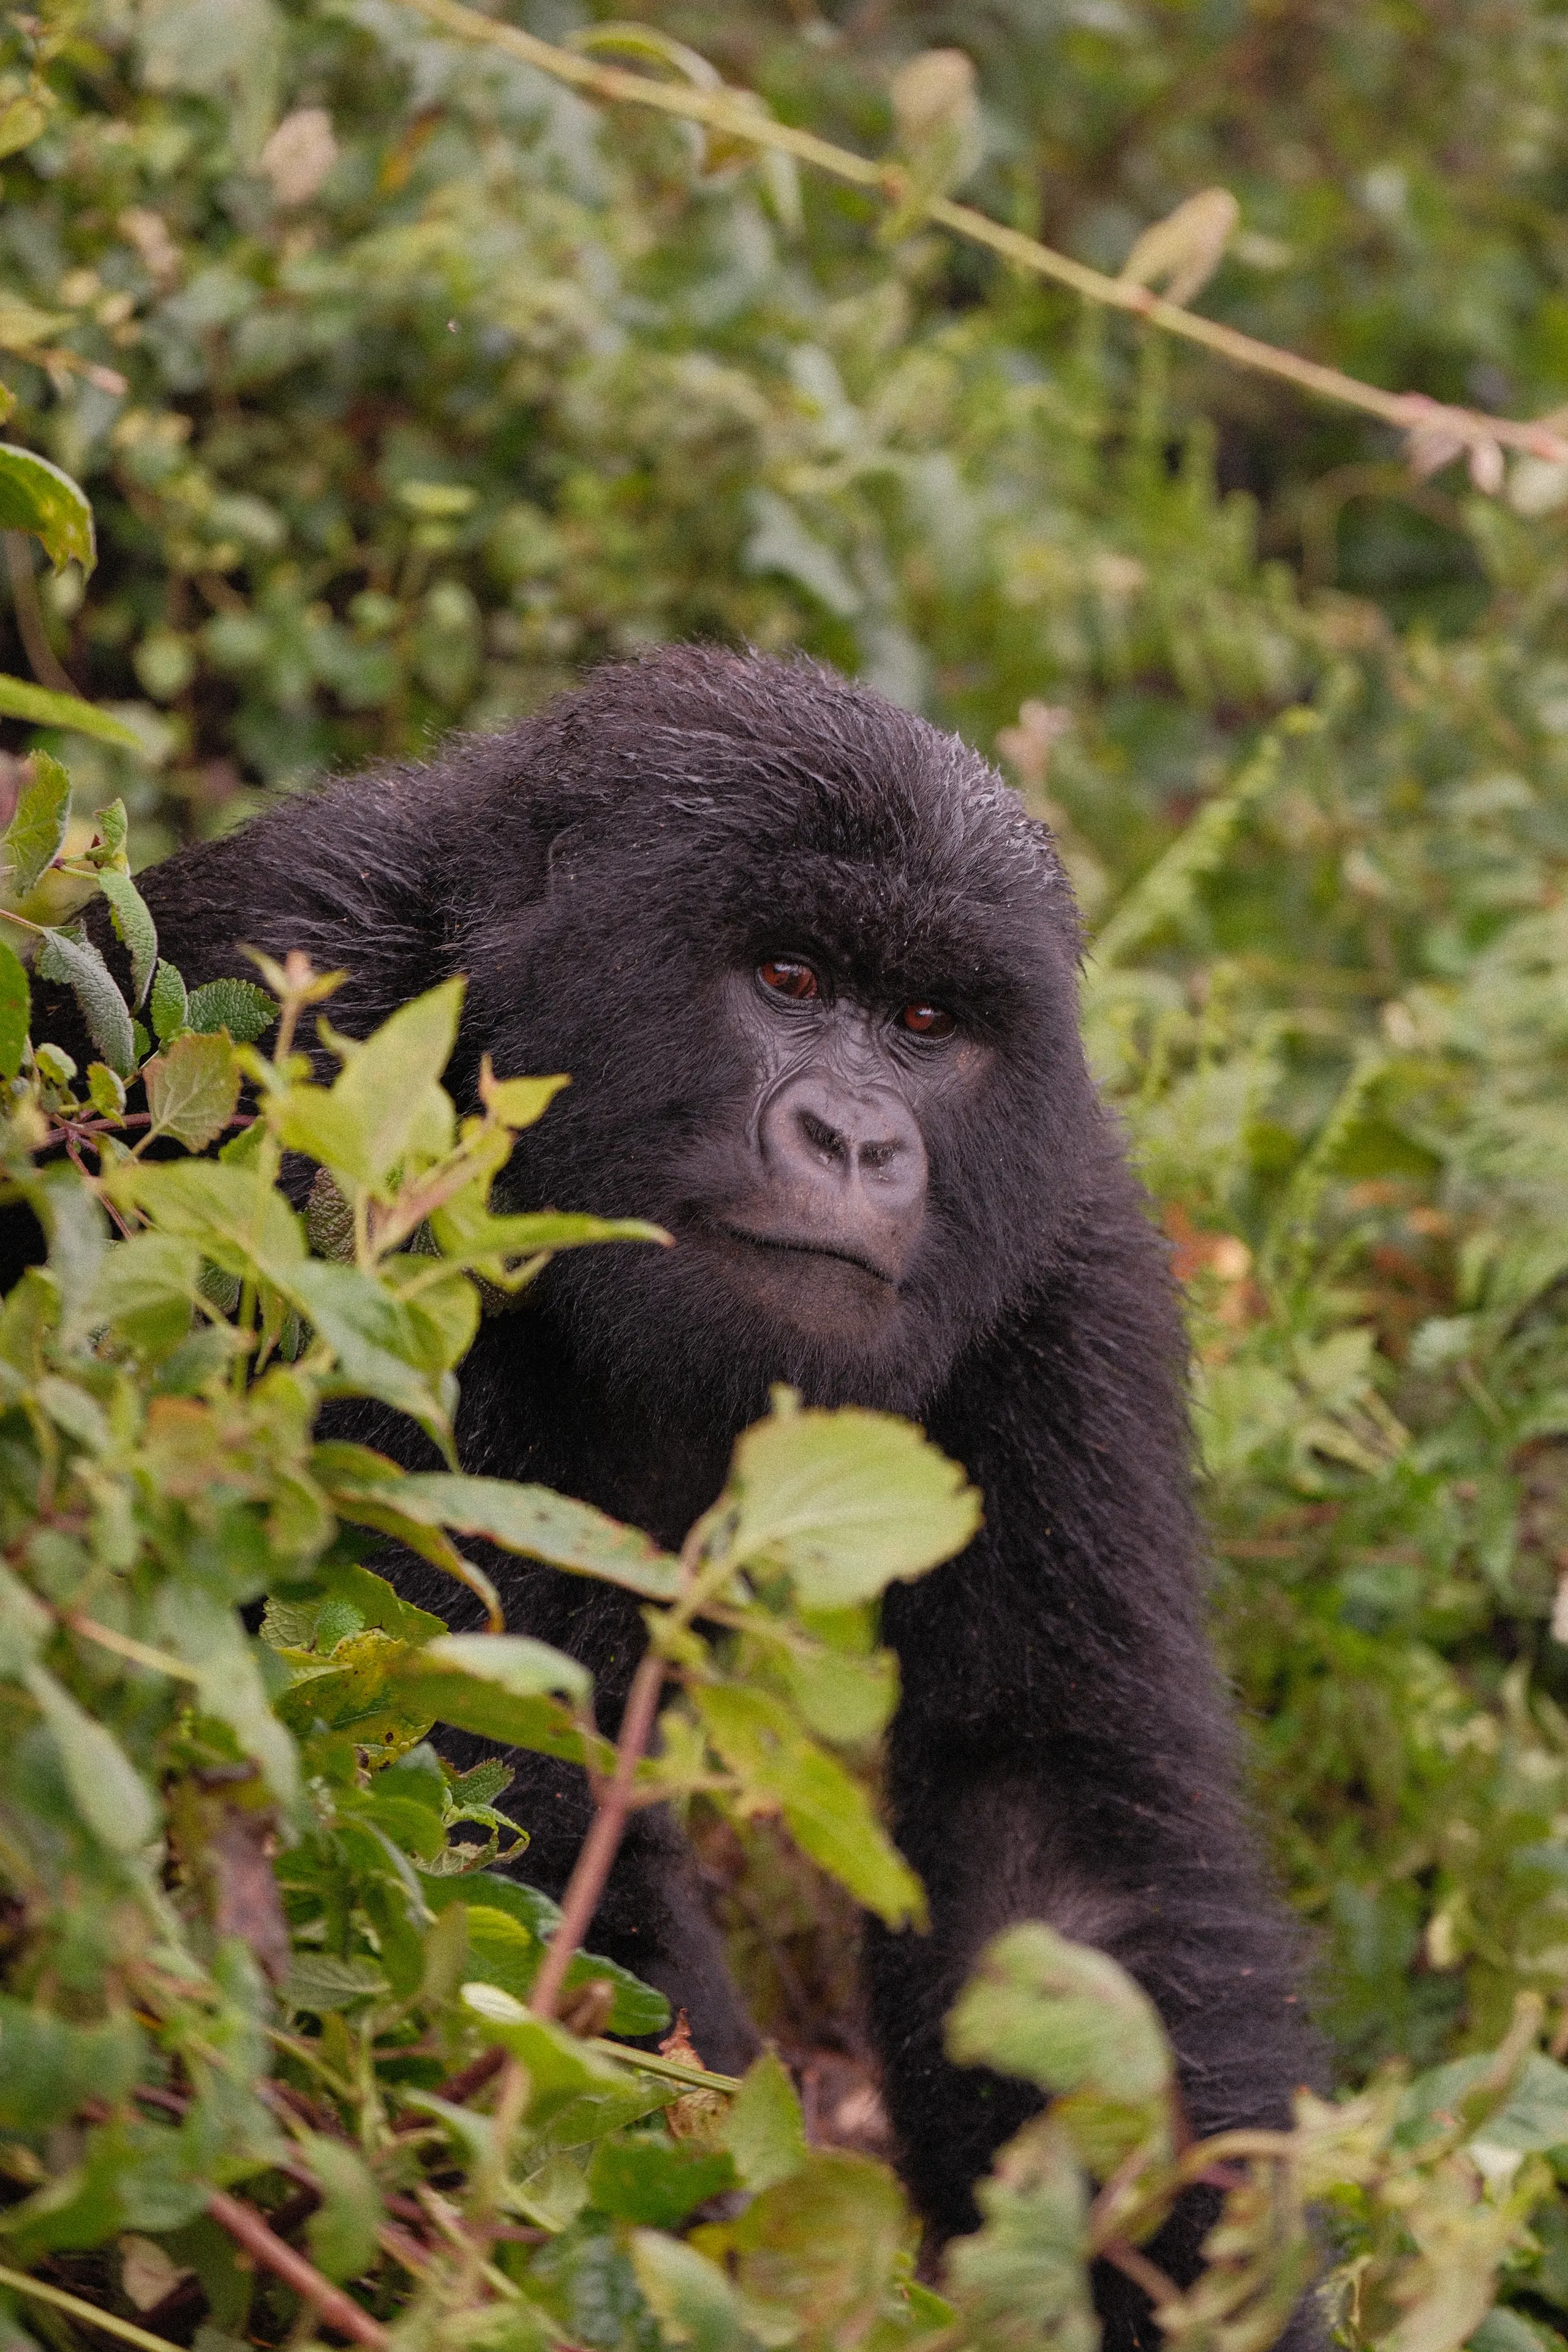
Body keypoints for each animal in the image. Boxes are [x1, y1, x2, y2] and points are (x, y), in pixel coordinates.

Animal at [22, 646, 1318, 2349]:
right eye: (785, 980)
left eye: (925, 1021)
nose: (857, 1139)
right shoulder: (301, 1048)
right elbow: (486, 1811)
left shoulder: (1064, 1238)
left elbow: (1056, 1844)